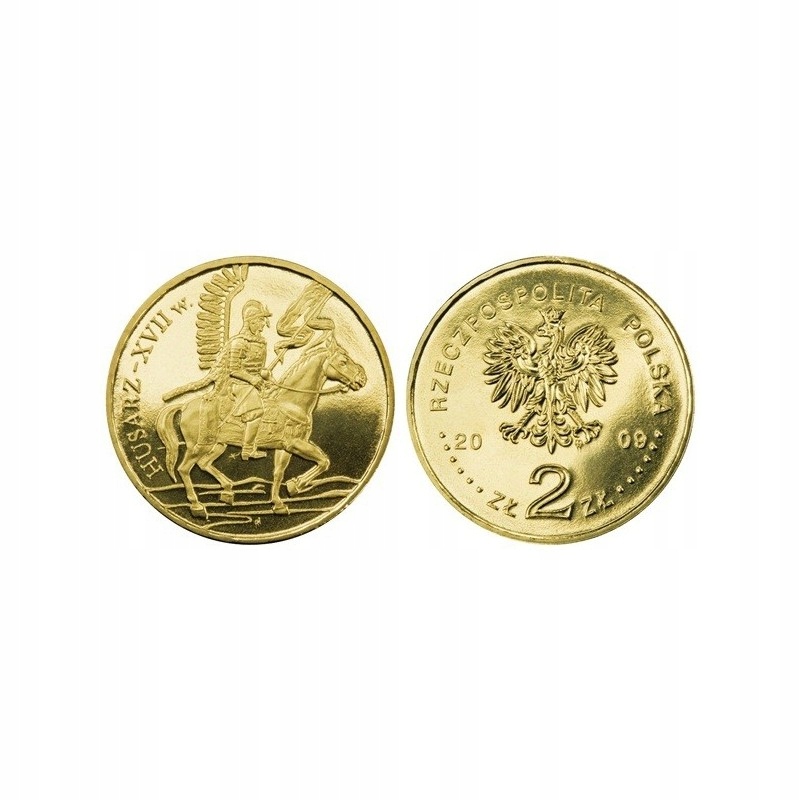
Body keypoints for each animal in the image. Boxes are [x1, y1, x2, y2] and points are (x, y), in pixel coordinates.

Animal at [156, 337, 367, 518]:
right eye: (343, 361)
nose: (362, 379)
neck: (291, 403)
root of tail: (185, 406)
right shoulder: (296, 443)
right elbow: (324, 461)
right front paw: (295, 485)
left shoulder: (284, 448)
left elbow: (279, 473)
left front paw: (279, 503)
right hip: (199, 445)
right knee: (184, 469)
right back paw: (197, 506)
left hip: (218, 445)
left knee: (204, 464)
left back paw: (228, 490)